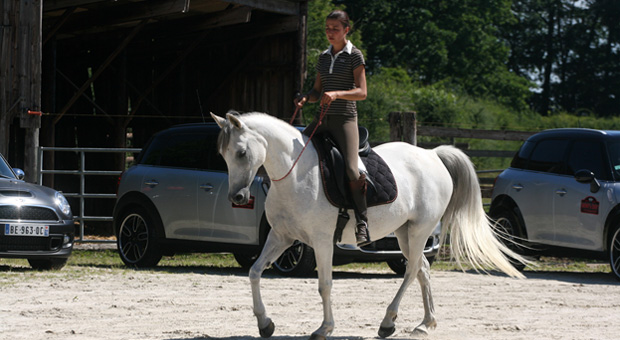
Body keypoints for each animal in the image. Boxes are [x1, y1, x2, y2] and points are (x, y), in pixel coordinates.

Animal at [211, 112, 524, 340]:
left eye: (241, 153)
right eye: (223, 155)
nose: (237, 197)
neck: (294, 173)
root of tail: (433, 155)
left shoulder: (322, 241)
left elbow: (324, 284)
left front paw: (324, 328)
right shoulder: (281, 237)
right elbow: (254, 272)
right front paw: (265, 324)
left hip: (420, 230)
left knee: (412, 270)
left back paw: (387, 322)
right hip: (404, 233)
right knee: (422, 268)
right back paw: (425, 324)